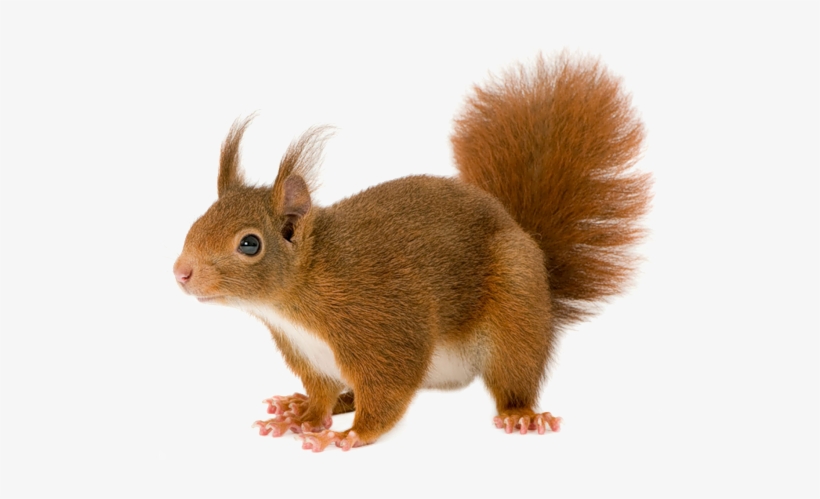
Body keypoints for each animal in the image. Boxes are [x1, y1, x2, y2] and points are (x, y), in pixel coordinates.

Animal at [173, 52, 651, 452]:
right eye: (200, 218)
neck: (296, 298)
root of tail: (528, 241)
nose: (181, 272)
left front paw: (349, 436)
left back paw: (521, 414)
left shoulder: (382, 325)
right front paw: (304, 415)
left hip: (516, 313)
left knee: (513, 374)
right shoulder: (309, 355)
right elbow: (322, 394)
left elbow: (389, 389)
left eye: (249, 243)